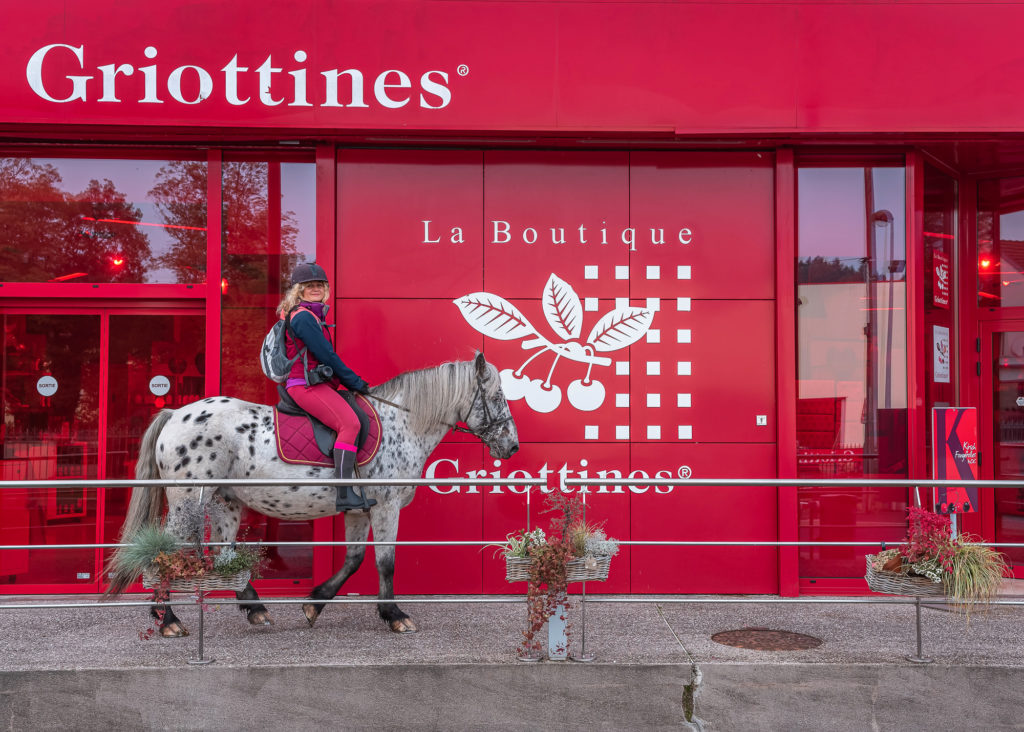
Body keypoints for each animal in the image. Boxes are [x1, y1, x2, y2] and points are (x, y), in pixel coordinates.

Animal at [110, 354, 520, 634]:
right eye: (497, 395)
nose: (512, 446)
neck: (402, 422)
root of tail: (175, 414)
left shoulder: (359, 510)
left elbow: (354, 559)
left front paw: (314, 604)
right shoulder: (386, 506)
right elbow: (385, 562)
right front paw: (395, 615)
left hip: (226, 502)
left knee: (223, 553)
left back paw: (255, 608)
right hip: (187, 501)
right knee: (162, 554)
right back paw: (168, 619)